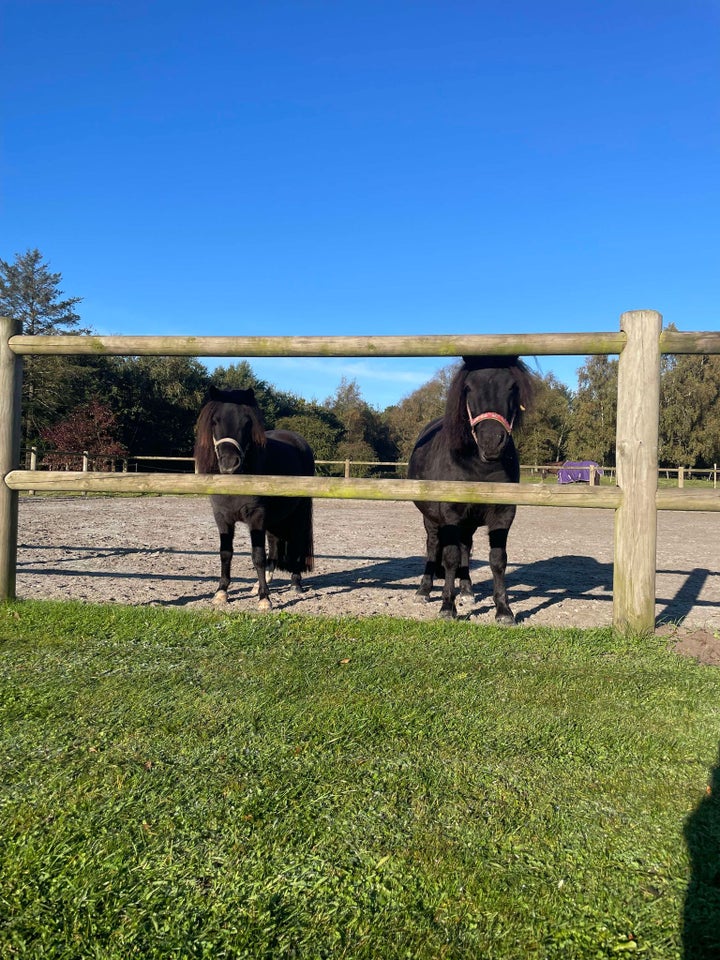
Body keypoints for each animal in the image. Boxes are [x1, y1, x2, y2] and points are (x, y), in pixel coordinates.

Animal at [194, 386, 316, 612]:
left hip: (297, 513)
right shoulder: (222, 517)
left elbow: (257, 556)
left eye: (247, 422)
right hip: (275, 518)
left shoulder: (256, 516)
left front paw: (264, 598)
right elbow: (226, 553)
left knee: (295, 543)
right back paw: (260, 583)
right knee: (275, 545)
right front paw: (221, 592)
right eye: (215, 421)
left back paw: (295, 583)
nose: (230, 463)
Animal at [408, 354, 532, 624]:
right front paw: (447, 607)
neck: (478, 465)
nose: (491, 442)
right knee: (433, 547)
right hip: (431, 518)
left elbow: (497, 560)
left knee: (465, 547)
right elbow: (450, 557)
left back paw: (466, 591)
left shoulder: (503, 513)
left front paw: (504, 610)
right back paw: (423, 590)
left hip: (468, 523)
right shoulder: (450, 513)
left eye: (512, 386)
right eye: (468, 388)